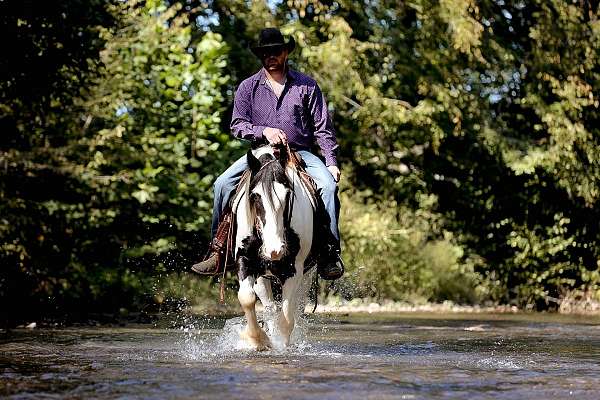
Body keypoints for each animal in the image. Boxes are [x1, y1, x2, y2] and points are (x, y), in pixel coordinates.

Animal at [233, 145, 316, 350]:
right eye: (255, 196)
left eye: (287, 195)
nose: (274, 250)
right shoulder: (245, 260)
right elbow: (247, 298)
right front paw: (258, 339)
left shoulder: (294, 269)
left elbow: (287, 317)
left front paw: (282, 345)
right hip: (262, 276)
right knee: (269, 306)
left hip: (307, 274)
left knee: (297, 307)